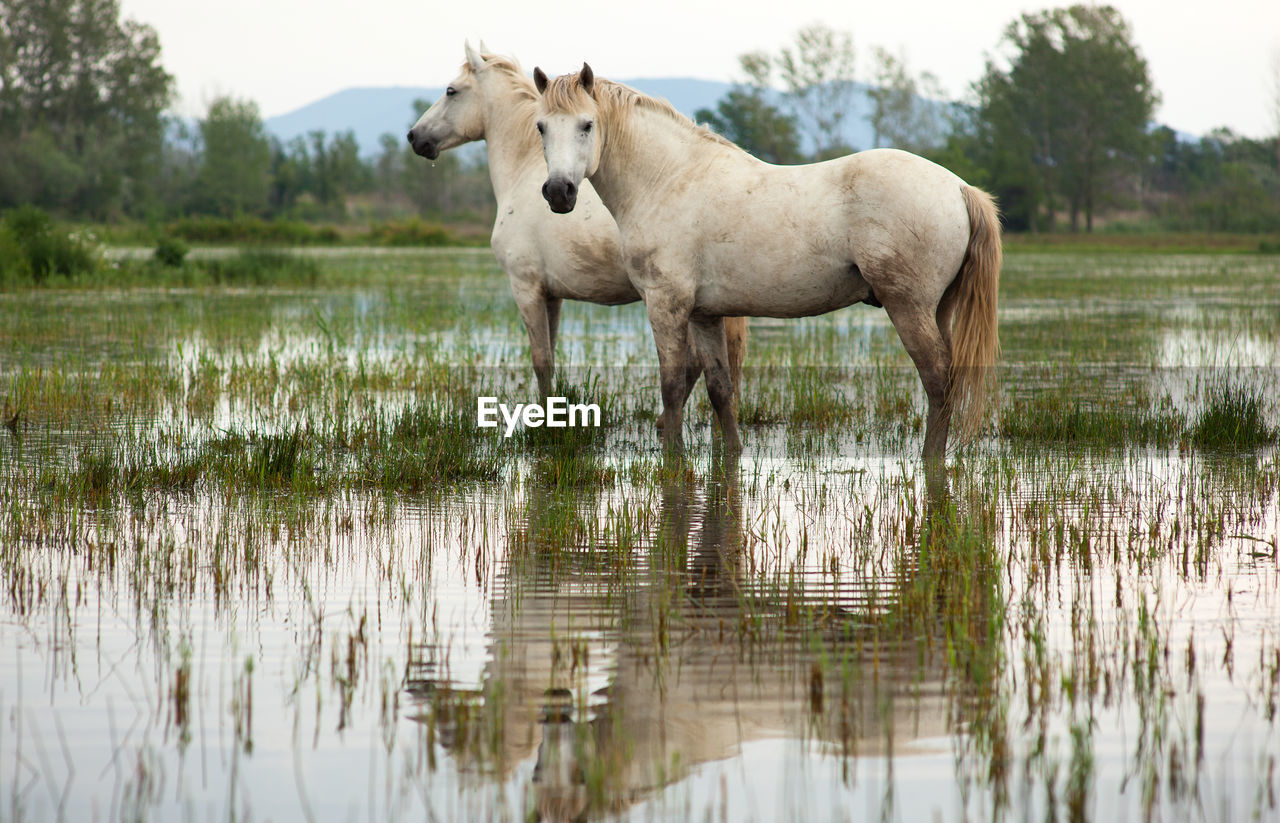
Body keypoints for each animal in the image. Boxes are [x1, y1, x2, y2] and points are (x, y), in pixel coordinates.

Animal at [409, 41, 747, 409]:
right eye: (542, 128)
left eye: (451, 91)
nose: (414, 137)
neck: (522, 170)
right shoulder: (551, 295)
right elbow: (551, 353)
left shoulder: (526, 287)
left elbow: (541, 360)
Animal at [532, 64, 998, 463]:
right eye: (541, 127)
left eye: (587, 125)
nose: (558, 192)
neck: (668, 179)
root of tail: (959, 188)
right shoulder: (704, 314)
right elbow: (720, 388)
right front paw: (732, 454)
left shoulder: (667, 305)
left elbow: (671, 385)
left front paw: (674, 460)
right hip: (938, 308)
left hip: (909, 307)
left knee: (937, 376)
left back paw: (930, 459)